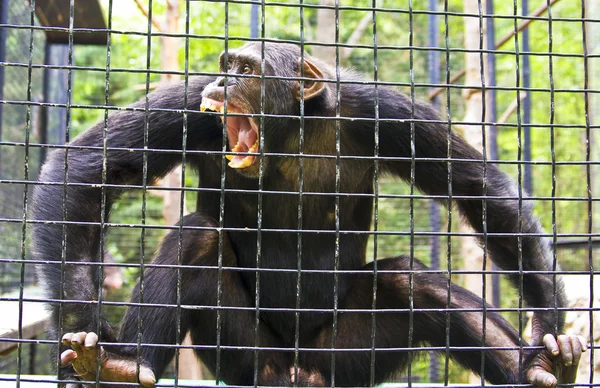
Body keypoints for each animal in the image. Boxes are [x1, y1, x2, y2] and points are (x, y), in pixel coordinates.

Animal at [32, 41, 584, 384]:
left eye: (246, 70)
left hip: (348, 358)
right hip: (245, 359)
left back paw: (540, 368)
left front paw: (546, 331)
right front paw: (84, 327)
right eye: (225, 65)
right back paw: (120, 368)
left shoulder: (387, 113)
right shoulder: (190, 104)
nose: (221, 83)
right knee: (198, 237)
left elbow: (478, 192)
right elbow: (90, 168)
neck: (290, 130)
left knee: (411, 283)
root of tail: (297, 370)